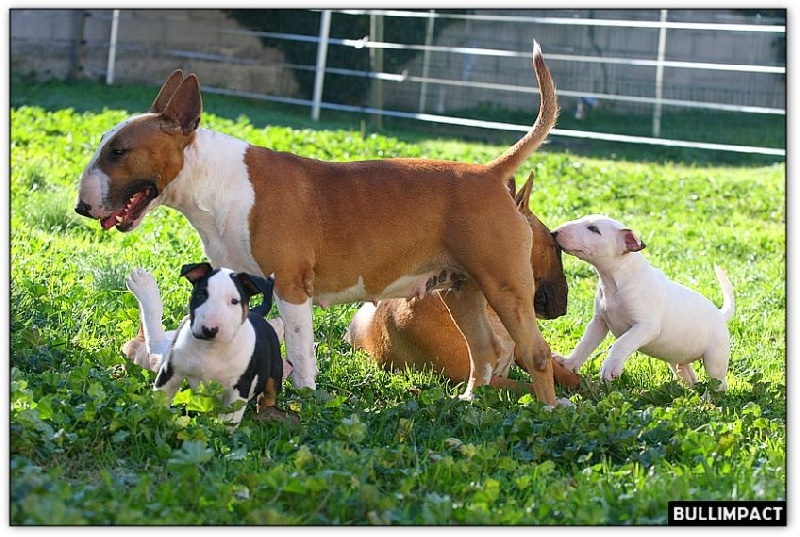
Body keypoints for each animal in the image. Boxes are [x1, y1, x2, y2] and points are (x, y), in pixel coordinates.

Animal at [126, 262, 296, 426]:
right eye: (201, 294)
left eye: (234, 301)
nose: (209, 329)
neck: (211, 349)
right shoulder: (170, 372)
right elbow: (159, 401)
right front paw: (155, 420)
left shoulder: (239, 388)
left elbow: (228, 421)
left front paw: (222, 433)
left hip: (275, 372)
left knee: (268, 396)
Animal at [552, 214, 736, 390]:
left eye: (593, 229)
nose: (554, 232)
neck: (615, 281)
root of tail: (720, 315)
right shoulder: (599, 322)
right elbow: (585, 344)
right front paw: (568, 363)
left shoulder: (646, 326)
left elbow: (621, 343)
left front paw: (610, 367)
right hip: (678, 358)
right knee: (689, 376)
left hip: (715, 358)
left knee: (719, 383)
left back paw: (709, 397)